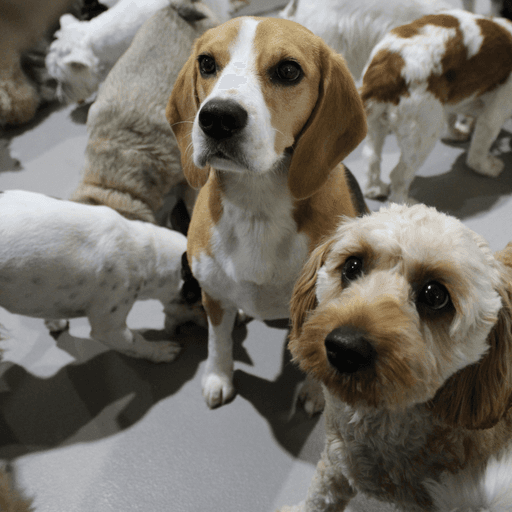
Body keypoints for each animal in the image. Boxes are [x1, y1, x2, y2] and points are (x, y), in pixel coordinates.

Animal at [0, 190, 204, 362]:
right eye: (204, 307)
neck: (150, 255)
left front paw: (54, 321)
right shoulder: (110, 329)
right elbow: (135, 342)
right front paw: (159, 351)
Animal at [167, 16, 368, 410]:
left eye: (288, 71)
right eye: (206, 63)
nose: (217, 117)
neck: (256, 205)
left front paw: (315, 391)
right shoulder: (212, 296)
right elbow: (217, 341)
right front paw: (218, 376)